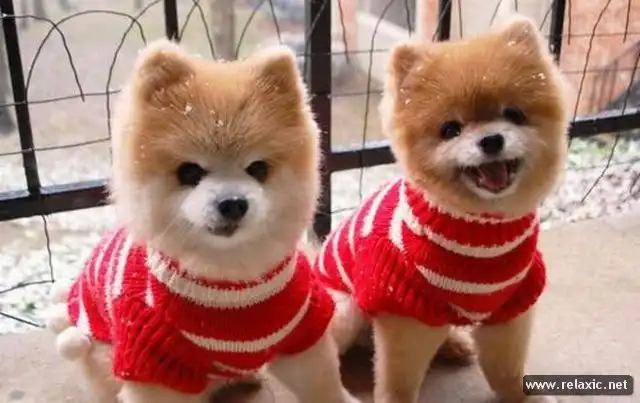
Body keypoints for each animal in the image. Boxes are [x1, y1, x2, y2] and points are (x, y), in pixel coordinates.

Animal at [46, 39, 360, 403]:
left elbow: (322, 381)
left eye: (259, 169)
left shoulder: (300, 328)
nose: (232, 203)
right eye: (189, 172)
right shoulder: (155, 361)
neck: (228, 284)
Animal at [313, 15, 570, 403]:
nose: (491, 139)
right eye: (451, 129)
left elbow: (506, 368)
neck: (479, 227)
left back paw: (452, 343)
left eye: (514, 114)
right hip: (346, 308)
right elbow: (399, 378)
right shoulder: (405, 308)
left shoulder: (510, 305)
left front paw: (520, 396)